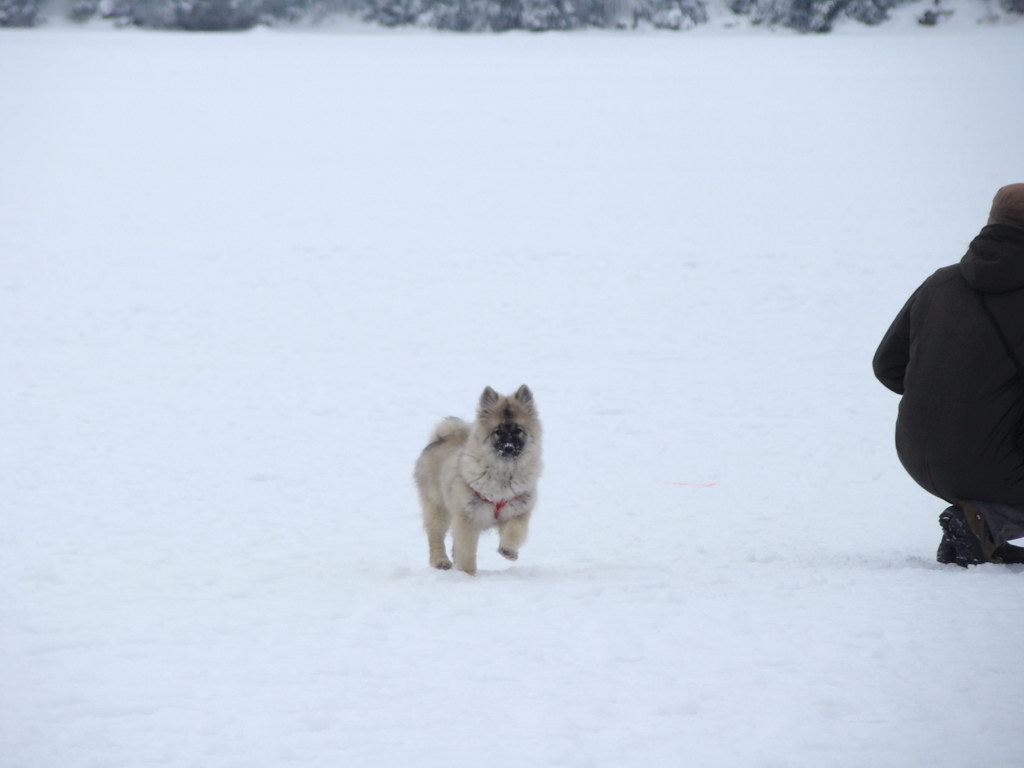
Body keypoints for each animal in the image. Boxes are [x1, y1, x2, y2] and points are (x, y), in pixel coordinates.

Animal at [415, 387, 544, 573]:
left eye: (518, 430)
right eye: (498, 432)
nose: (508, 448)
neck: (503, 473)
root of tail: (441, 438)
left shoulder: (518, 511)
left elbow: (514, 531)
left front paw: (508, 550)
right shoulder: (467, 518)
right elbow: (467, 550)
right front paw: (467, 574)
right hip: (438, 508)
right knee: (436, 537)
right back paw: (441, 561)